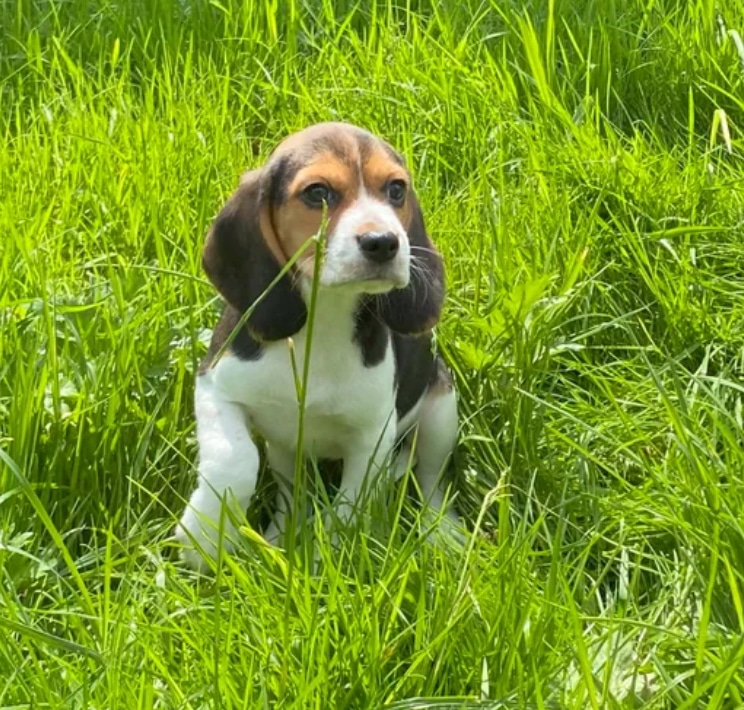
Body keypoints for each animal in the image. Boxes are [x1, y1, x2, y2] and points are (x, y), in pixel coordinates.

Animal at [177, 119, 462, 572]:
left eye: (396, 189)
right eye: (317, 193)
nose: (384, 242)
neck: (324, 317)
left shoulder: (373, 434)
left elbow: (349, 504)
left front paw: (319, 557)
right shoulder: (214, 387)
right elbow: (236, 459)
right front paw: (205, 535)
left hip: (441, 408)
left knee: (432, 477)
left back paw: (443, 532)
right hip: (285, 449)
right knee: (290, 491)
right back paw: (280, 532)